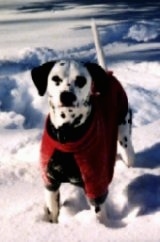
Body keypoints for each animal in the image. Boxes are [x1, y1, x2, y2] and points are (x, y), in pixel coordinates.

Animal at [30, 23, 134, 225]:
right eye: (55, 79)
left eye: (81, 80)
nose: (66, 95)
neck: (67, 136)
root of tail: (107, 74)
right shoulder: (50, 181)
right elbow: (53, 210)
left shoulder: (96, 185)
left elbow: (99, 213)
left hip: (124, 132)